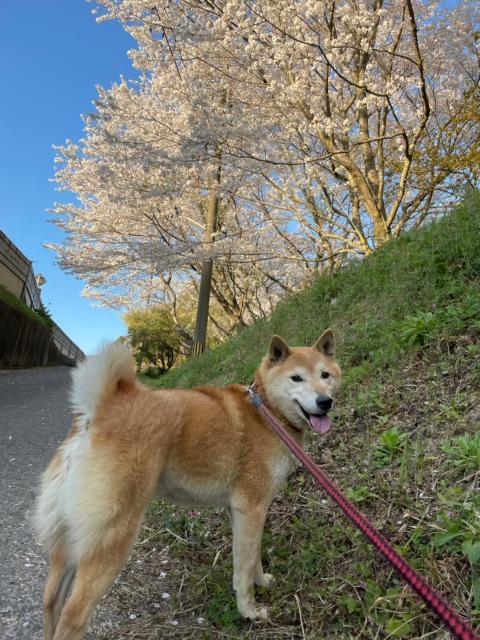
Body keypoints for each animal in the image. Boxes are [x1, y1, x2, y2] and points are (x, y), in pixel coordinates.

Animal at [34, 332, 342, 640]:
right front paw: (249, 611)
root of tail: (96, 411)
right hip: (113, 537)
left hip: (69, 537)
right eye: (296, 378)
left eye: (325, 375)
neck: (267, 412)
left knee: (51, 600)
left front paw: (262, 581)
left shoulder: (241, 511)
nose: (324, 401)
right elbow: (243, 568)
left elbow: (252, 555)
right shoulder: (252, 507)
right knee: (73, 616)